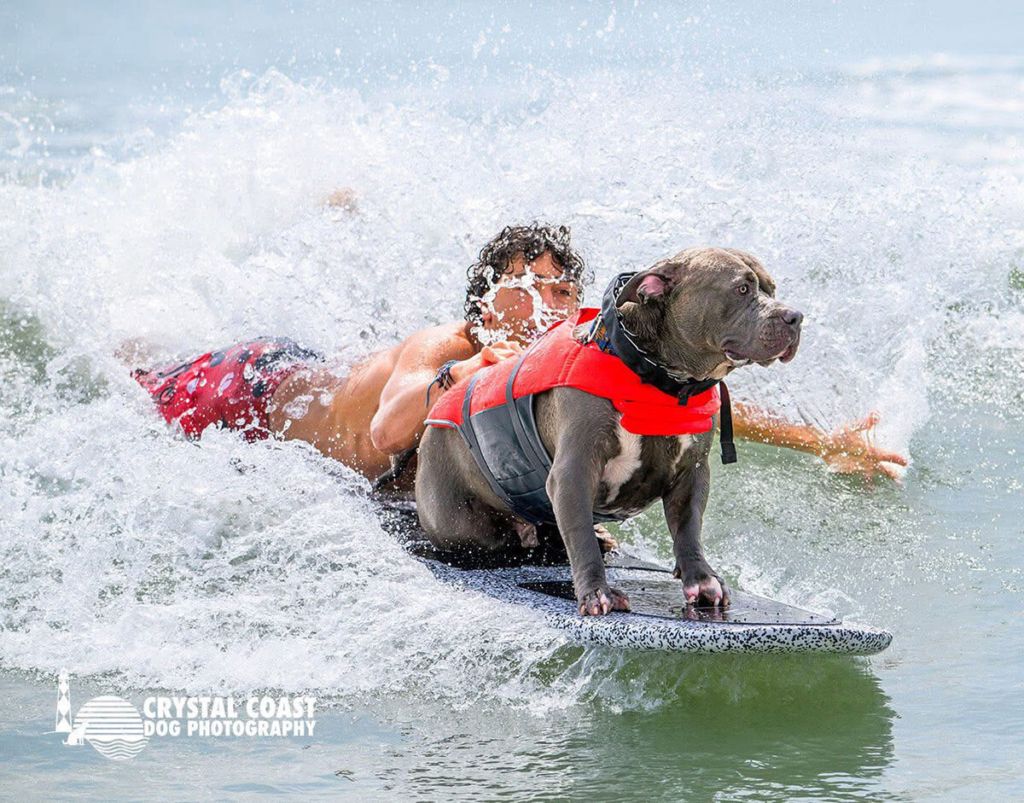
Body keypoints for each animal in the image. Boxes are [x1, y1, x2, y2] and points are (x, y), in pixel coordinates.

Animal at [415, 247, 802, 615]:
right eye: (741, 289)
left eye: (772, 289)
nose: (795, 316)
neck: (662, 379)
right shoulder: (574, 470)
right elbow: (580, 534)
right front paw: (596, 592)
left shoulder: (692, 471)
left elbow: (689, 528)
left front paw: (702, 579)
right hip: (460, 523)